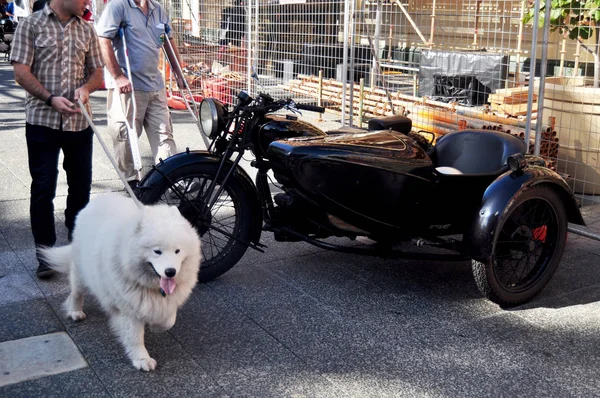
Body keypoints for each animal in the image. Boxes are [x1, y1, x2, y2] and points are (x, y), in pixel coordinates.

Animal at [39, 194, 204, 372]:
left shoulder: (166, 301)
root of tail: (100, 197)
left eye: (177, 251)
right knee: (76, 293)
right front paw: (141, 359)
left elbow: (168, 321)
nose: (170, 271)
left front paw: (155, 326)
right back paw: (75, 311)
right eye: (157, 251)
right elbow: (135, 337)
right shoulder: (128, 308)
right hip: (81, 273)